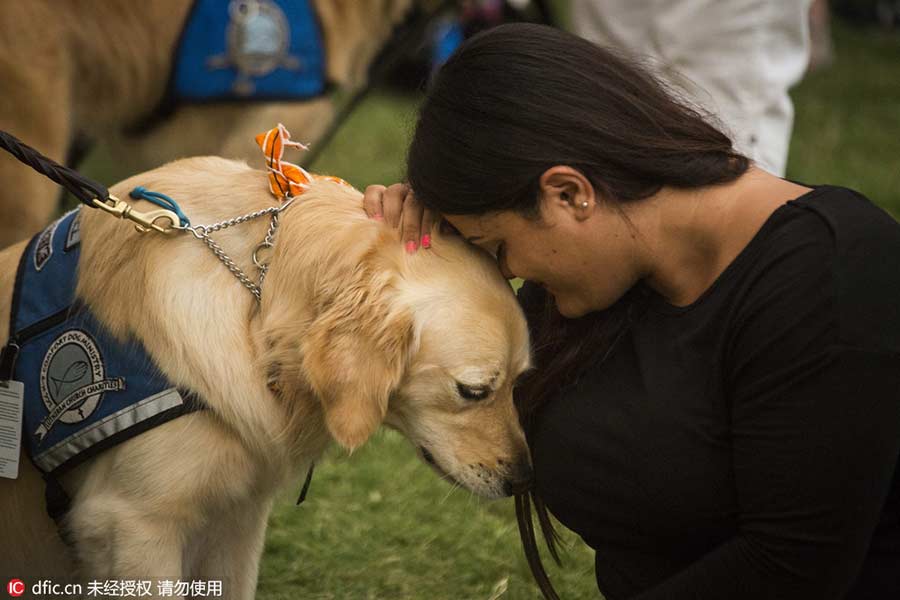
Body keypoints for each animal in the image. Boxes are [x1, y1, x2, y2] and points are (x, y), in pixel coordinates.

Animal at [0, 156, 536, 596]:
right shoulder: (131, 523)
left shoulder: (237, 515)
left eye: (519, 382)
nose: (522, 479)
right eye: (473, 391)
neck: (257, 302)